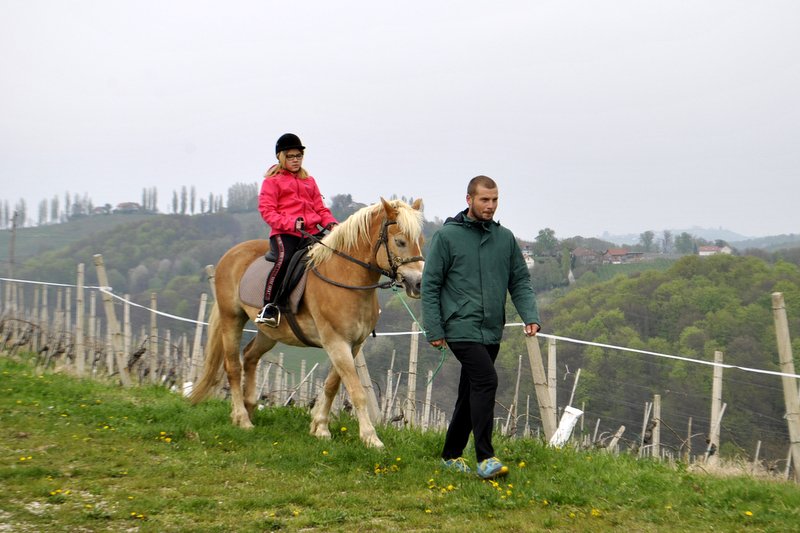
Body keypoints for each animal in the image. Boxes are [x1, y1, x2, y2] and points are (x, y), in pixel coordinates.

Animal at [189, 197, 424, 446]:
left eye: (421, 241)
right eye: (400, 241)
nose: (418, 283)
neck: (346, 278)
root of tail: (231, 254)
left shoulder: (353, 345)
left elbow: (332, 385)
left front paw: (320, 427)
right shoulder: (336, 343)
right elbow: (356, 391)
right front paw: (371, 438)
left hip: (269, 332)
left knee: (250, 356)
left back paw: (250, 407)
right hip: (231, 318)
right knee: (233, 366)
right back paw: (242, 418)